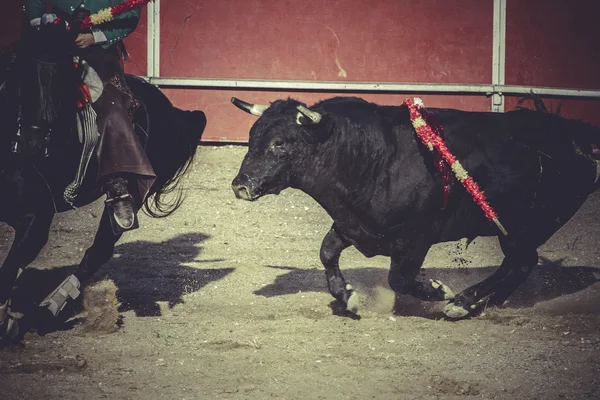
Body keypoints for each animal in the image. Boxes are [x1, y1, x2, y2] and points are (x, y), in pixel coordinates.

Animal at [0, 21, 206, 344]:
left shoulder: (37, 219)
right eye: (19, 78)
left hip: (133, 193)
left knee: (99, 250)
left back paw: (46, 312)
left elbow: (7, 271)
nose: (34, 146)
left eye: (63, 83)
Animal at [231, 97, 600, 318]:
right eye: (251, 138)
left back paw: (462, 303)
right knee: (520, 264)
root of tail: (575, 135)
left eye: (280, 143)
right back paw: (487, 303)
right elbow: (327, 253)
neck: (373, 156)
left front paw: (438, 290)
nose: (240, 186)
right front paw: (347, 297)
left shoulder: (415, 237)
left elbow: (399, 278)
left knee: (521, 261)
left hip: (526, 227)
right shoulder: (353, 225)